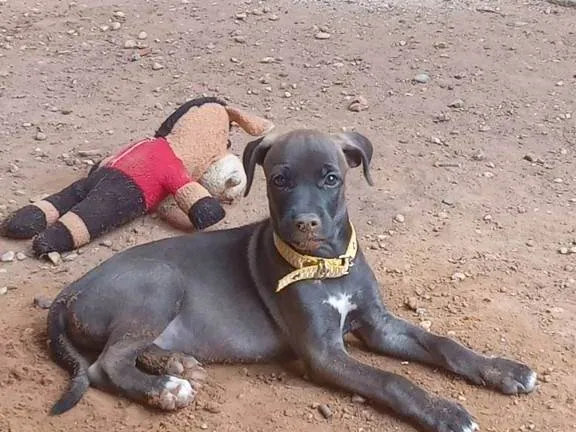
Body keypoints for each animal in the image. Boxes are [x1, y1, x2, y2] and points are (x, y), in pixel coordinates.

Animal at [47, 129, 537, 432]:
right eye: (279, 180)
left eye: (331, 178)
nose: (304, 223)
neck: (326, 266)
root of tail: (67, 292)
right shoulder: (324, 353)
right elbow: (391, 380)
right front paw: (446, 412)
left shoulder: (378, 324)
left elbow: (443, 344)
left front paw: (503, 370)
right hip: (159, 281)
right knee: (106, 363)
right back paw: (166, 388)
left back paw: (177, 364)